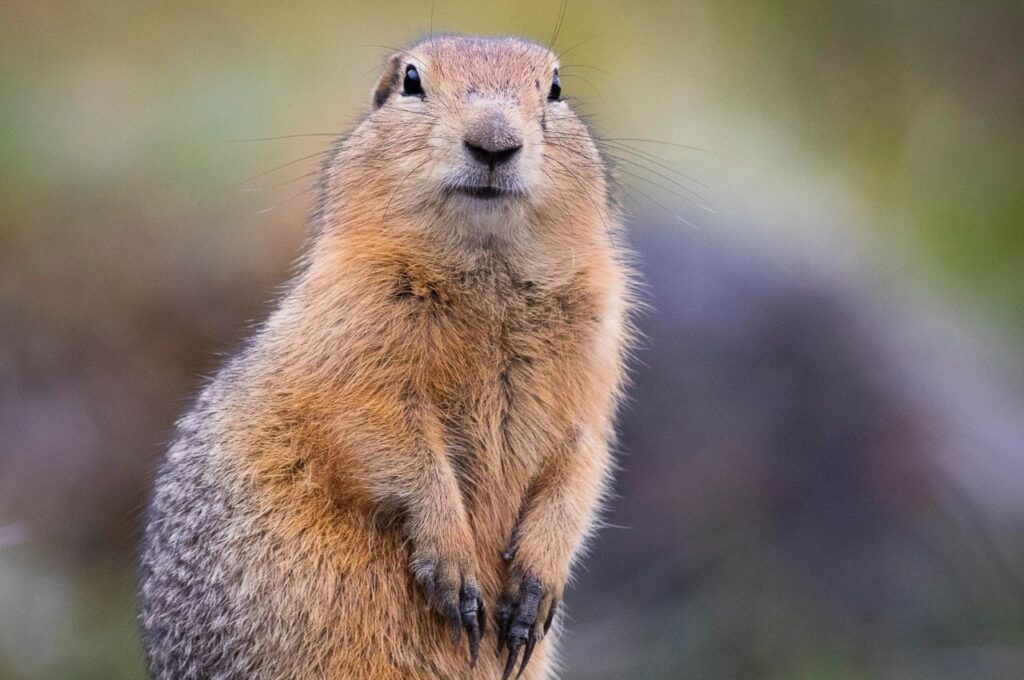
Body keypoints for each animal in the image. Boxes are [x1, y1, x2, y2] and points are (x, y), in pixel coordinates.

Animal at [140, 35, 635, 680]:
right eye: (411, 81)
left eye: (554, 87)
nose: (494, 142)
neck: (488, 273)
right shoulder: (353, 329)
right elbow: (385, 434)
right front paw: (455, 571)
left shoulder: (595, 358)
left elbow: (582, 459)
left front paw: (534, 591)